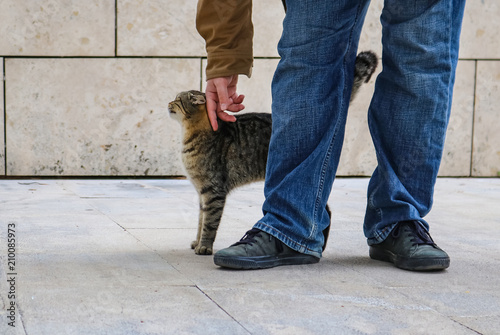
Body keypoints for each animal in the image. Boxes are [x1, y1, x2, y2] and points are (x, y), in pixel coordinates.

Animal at [170, 50, 376, 255]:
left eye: (178, 100)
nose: (168, 102)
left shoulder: (213, 191)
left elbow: (209, 223)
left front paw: (204, 246)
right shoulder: (202, 194)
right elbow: (200, 221)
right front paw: (197, 242)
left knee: (323, 211)